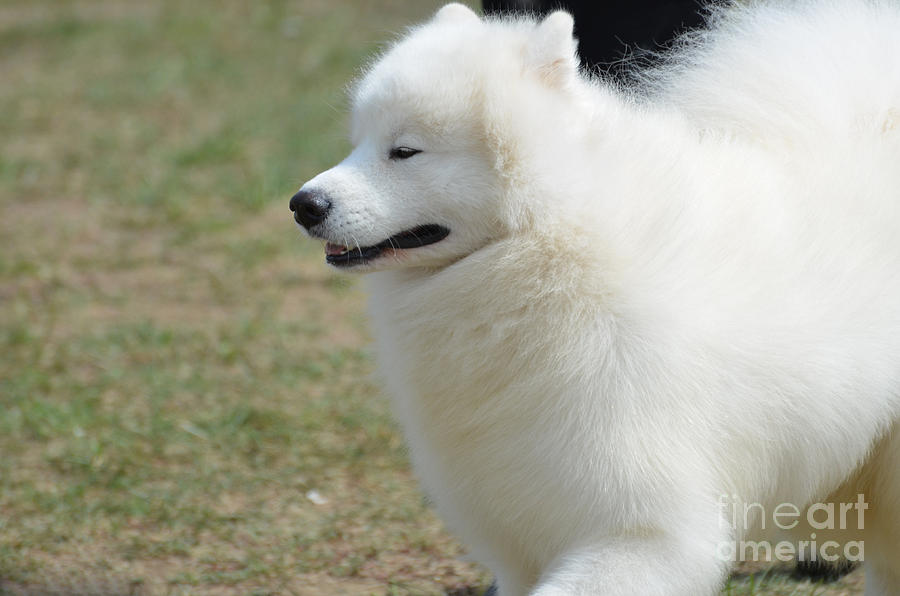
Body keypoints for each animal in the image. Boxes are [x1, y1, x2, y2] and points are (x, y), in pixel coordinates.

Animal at [290, 2, 900, 592]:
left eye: (405, 151)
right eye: (358, 143)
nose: (303, 204)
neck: (546, 250)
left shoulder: (644, 531)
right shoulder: (515, 538)